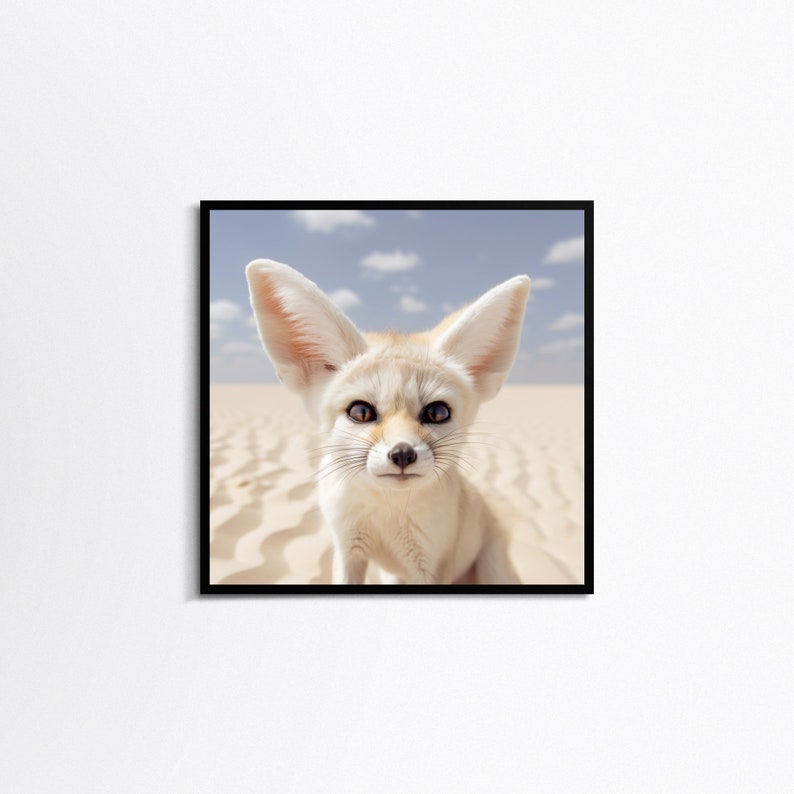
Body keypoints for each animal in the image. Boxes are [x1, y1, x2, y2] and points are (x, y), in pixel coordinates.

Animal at [245, 259, 531, 585]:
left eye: (437, 413)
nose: (403, 454)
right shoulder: (348, 550)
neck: (387, 514)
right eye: (360, 412)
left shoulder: (431, 566)